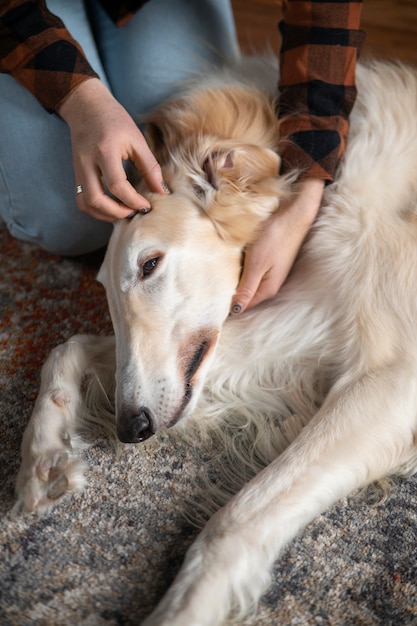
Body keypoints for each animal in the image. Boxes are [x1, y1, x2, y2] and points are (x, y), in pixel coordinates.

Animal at [14, 58, 416, 624]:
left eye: (150, 264)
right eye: (102, 288)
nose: (130, 427)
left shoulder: (391, 377)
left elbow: (236, 521)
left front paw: (184, 608)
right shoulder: (296, 316)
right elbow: (67, 345)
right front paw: (45, 456)